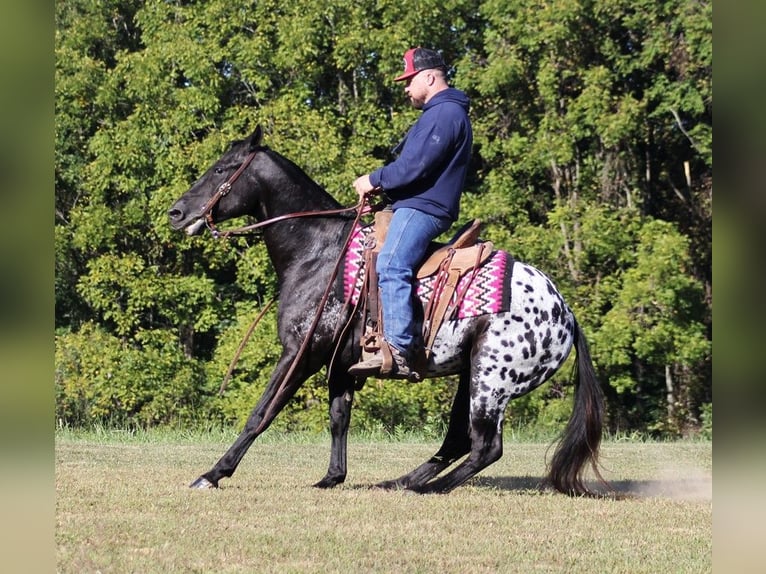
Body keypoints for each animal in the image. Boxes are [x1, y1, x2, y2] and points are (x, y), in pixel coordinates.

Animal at [168, 126, 608, 496]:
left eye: (222, 168)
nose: (176, 213)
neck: (317, 252)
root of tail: (566, 314)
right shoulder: (340, 363)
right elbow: (338, 417)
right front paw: (332, 477)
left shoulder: (301, 354)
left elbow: (262, 412)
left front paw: (213, 473)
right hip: (471, 375)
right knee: (457, 441)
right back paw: (402, 481)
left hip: (491, 382)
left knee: (486, 447)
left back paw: (429, 488)